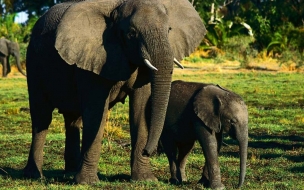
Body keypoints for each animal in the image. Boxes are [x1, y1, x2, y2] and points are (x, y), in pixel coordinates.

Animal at [22, 0, 205, 185]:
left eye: (169, 30)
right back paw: (34, 175)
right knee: (41, 117)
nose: (147, 151)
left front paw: (145, 180)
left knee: (73, 119)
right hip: (34, 63)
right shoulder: (94, 57)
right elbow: (96, 112)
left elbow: (140, 108)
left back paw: (70, 173)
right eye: (132, 33)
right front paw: (88, 183)